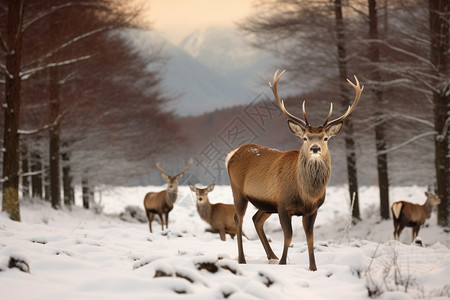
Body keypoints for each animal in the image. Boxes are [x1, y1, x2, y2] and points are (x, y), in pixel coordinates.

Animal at [227, 69, 364, 270]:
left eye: (325, 138)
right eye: (305, 137)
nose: (315, 148)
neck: (306, 193)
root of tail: (232, 154)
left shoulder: (312, 210)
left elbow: (310, 239)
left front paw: (313, 268)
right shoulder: (284, 205)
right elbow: (289, 236)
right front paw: (284, 263)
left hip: (267, 205)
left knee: (255, 219)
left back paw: (272, 256)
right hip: (238, 190)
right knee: (238, 219)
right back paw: (242, 259)